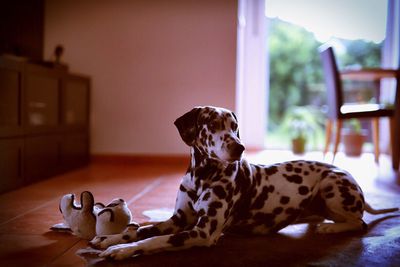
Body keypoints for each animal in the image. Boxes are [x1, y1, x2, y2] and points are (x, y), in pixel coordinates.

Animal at [90, 105, 396, 260]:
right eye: (213, 125)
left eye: (234, 127)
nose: (239, 147)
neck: (203, 176)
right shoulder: (178, 220)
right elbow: (142, 229)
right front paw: (110, 238)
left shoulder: (202, 232)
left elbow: (155, 240)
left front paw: (122, 250)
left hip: (331, 185)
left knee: (359, 223)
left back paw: (330, 229)